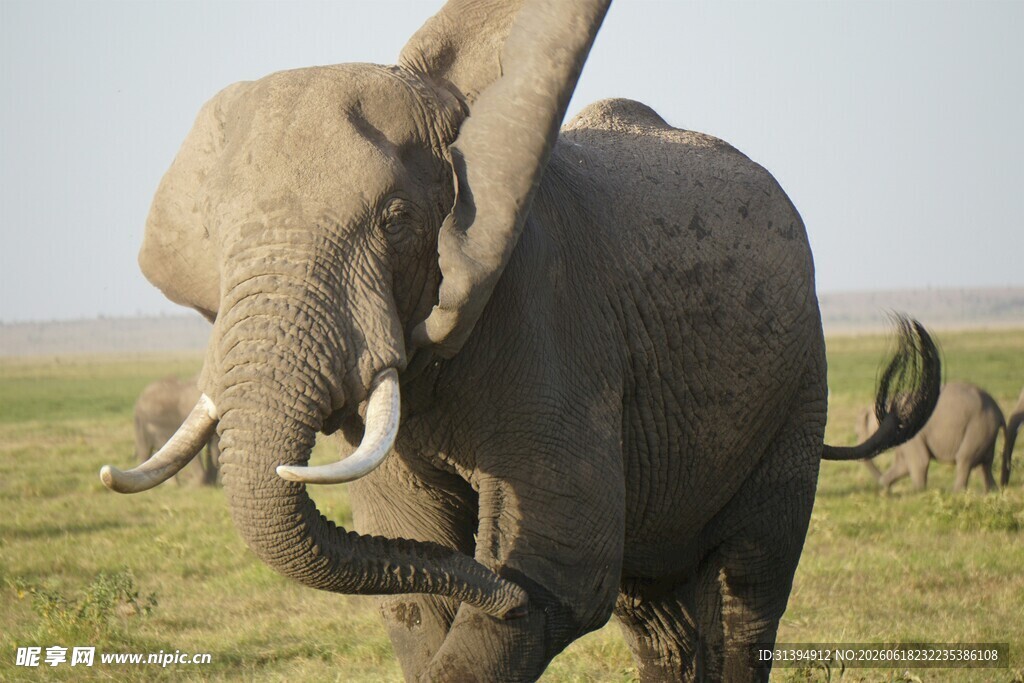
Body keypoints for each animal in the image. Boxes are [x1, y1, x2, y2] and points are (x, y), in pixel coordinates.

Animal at [98, 1, 941, 680]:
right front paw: (476, 585)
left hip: (798, 378)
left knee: (749, 585)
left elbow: (560, 569)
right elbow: (415, 573)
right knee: (656, 613)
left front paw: (512, 588)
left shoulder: (549, 315)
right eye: (216, 237)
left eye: (396, 220)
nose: (492, 581)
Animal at [854, 381, 1012, 493]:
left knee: (965, 460)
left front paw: (917, 493)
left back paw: (956, 493)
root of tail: (999, 411)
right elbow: (903, 465)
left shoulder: (910, 430)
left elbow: (920, 461)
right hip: (986, 432)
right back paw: (992, 492)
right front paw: (886, 491)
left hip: (978, 428)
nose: (881, 487)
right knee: (983, 465)